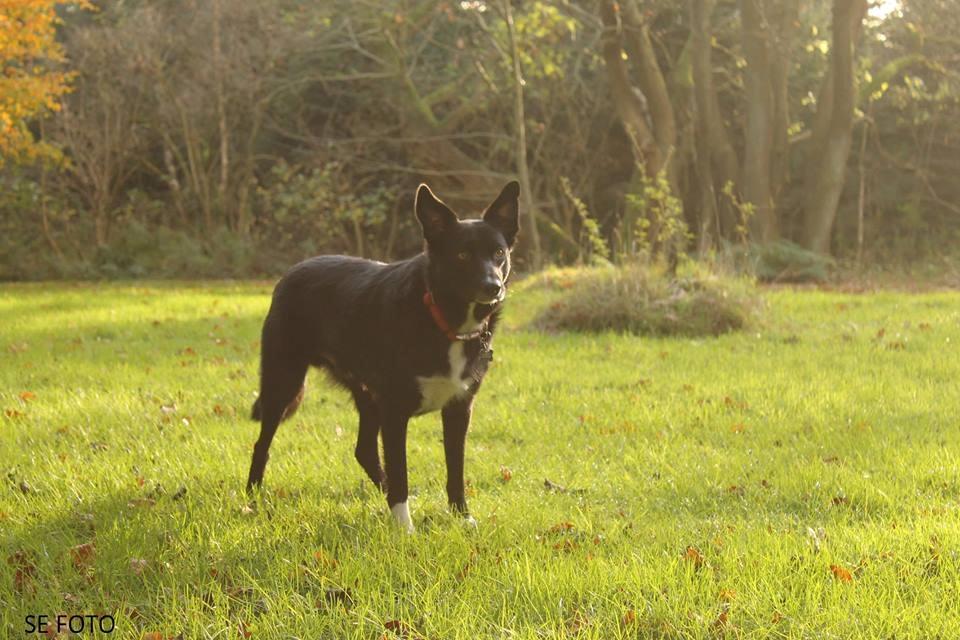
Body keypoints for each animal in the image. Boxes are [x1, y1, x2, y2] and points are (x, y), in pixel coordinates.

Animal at [246, 179, 516, 528]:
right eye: (462, 254)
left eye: (498, 253)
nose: (493, 287)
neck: (441, 318)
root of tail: (293, 270)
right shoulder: (394, 411)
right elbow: (401, 473)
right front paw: (404, 528)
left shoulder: (459, 408)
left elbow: (455, 470)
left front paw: (461, 517)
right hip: (284, 381)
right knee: (262, 444)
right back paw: (252, 498)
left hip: (366, 394)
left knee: (363, 449)